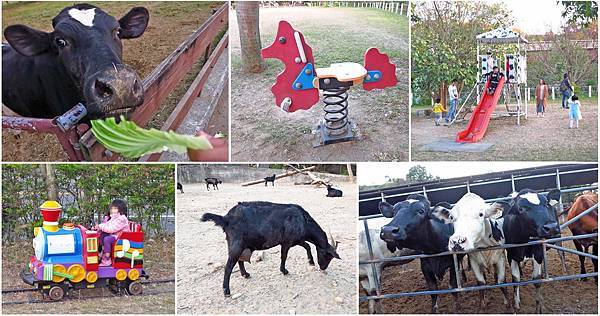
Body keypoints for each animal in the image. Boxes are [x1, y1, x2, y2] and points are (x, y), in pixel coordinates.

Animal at [202, 202, 340, 296]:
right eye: (327, 255)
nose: (323, 268)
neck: (302, 220)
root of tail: (226, 218)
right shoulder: (287, 242)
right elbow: (284, 255)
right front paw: (284, 270)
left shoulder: (296, 240)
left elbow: (307, 246)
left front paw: (310, 261)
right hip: (236, 245)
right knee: (229, 266)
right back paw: (226, 291)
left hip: (242, 245)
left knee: (240, 260)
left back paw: (245, 274)